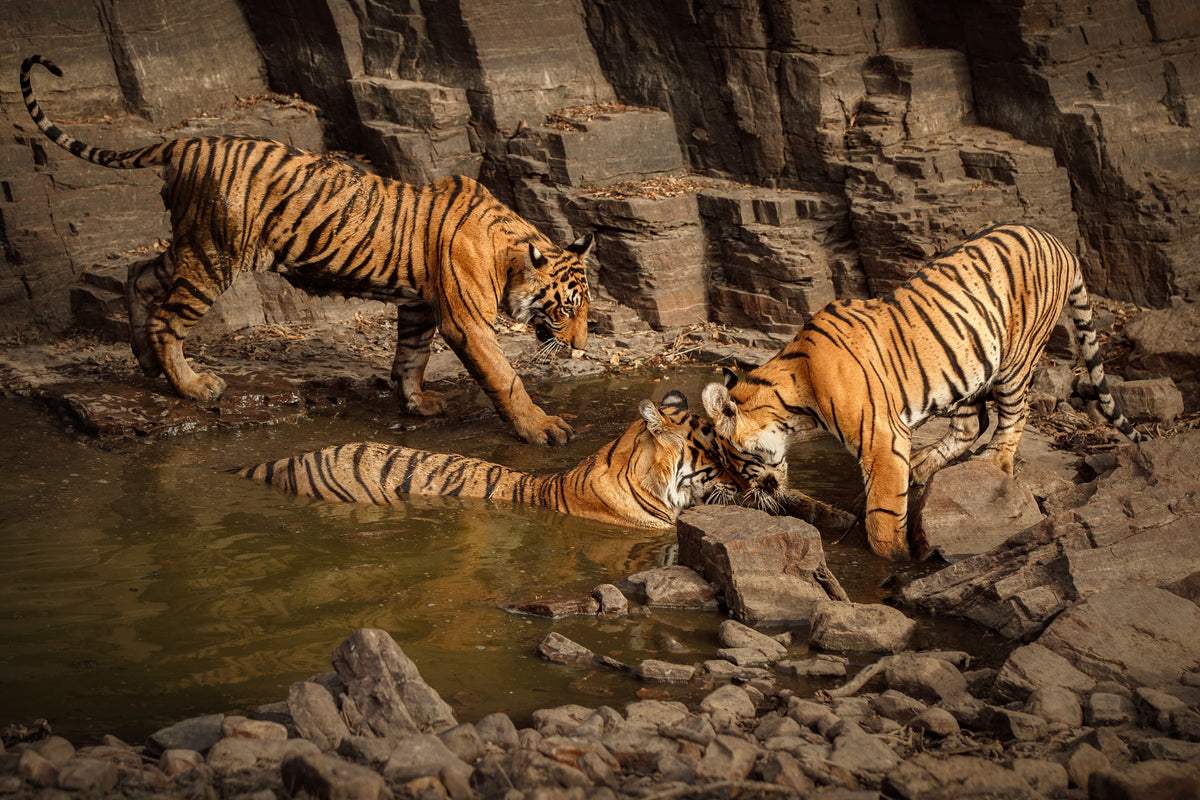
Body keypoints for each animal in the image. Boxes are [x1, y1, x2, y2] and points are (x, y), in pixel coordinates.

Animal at [21, 55, 592, 445]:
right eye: (566, 310)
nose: (582, 348)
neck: (511, 251)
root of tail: (186, 142)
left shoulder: (418, 304)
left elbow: (411, 357)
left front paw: (416, 404)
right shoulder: (466, 321)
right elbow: (505, 377)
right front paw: (544, 428)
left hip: (192, 244)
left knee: (138, 274)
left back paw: (144, 361)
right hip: (214, 255)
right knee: (167, 319)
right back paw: (194, 386)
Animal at [702, 222, 1145, 560]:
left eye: (735, 461)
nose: (750, 496)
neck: (794, 399)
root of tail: (1060, 243)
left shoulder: (881, 439)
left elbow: (882, 514)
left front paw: (895, 560)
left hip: (1016, 358)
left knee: (1013, 416)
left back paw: (994, 462)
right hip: (968, 368)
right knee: (972, 424)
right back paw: (921, 465)